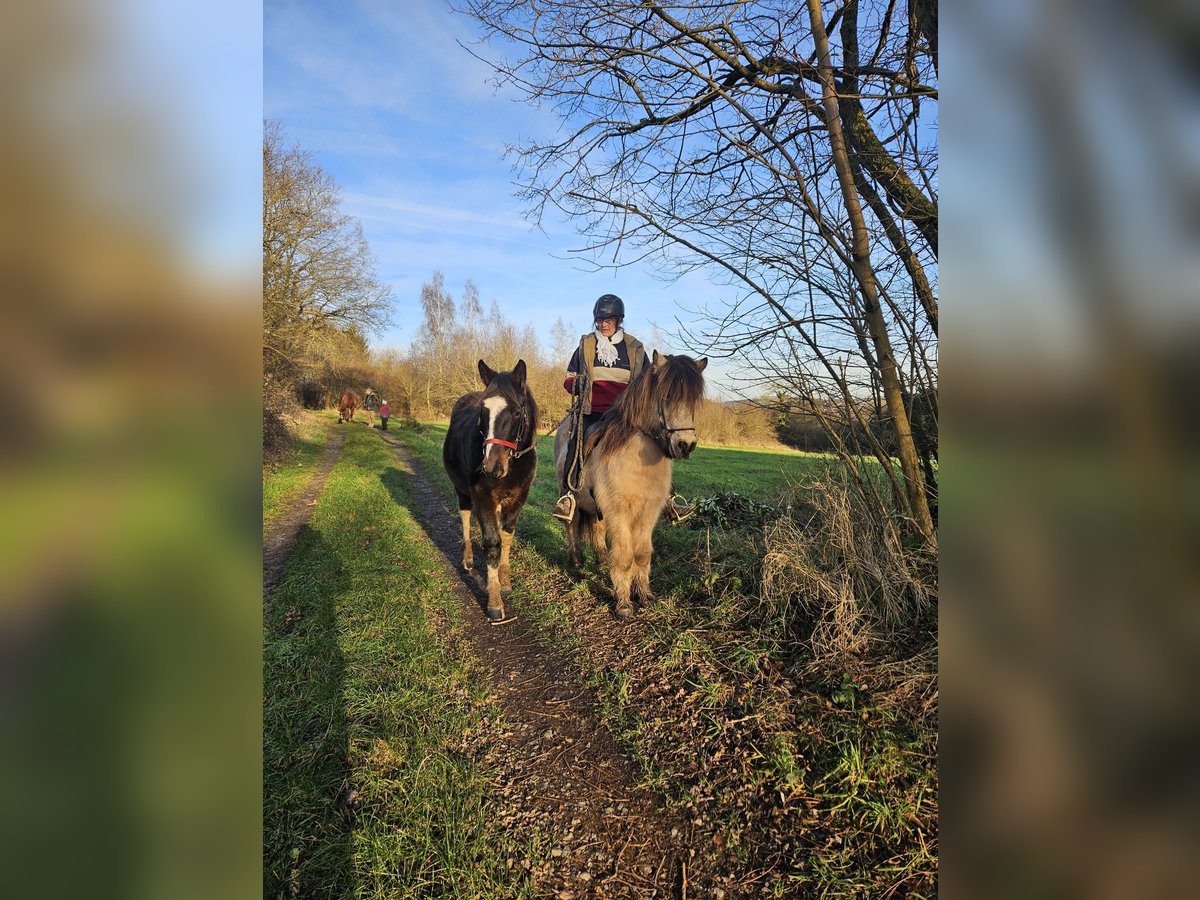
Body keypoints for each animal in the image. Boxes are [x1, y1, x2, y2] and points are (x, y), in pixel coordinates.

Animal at [444, 360, 537, 619]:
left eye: (517, 412)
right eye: (482, 412)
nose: (492, 467)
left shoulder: (518, 499)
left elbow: (506, 537)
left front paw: (503, 581)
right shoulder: (482, 497)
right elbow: (492, 543)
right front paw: (494, 602)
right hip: (463, 492)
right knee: (465, 517)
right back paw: (467, 559)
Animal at [556, 350, 705, 619]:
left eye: (693, 400)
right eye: (666, 396)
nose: (685, 445)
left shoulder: (648, 513)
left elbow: (642, 555)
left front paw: (644, 595)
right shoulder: (619, 512)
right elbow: (625, 557)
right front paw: (623, 603)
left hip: (596, 507)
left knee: (596, 528)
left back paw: (602, 559)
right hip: (572, 498)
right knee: (571, 525)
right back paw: (577, 560)